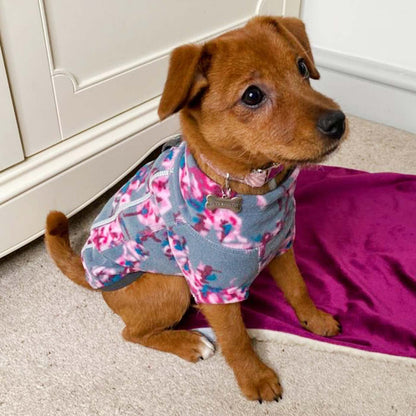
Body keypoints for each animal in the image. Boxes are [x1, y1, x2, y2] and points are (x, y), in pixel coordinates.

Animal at [45, 16, 347, 403]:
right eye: (252, 95)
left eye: (302, 68)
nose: (337, 122)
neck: (254, 190)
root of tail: (88, 274)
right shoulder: (214, 288)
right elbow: (236, 338)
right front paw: (254, 377)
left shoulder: (282, 246)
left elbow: (298, 288)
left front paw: (315, 318)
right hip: (173, 285)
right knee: (132, 333)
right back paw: (188, 343)